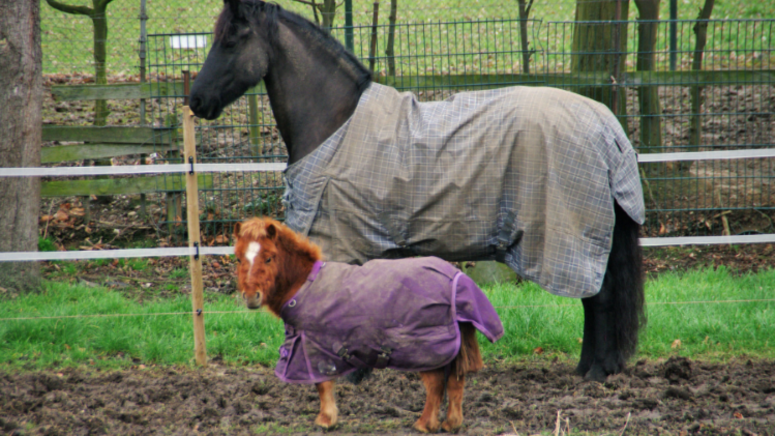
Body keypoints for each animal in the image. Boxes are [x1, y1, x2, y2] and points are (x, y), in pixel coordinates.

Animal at [191, 0, 644, 382]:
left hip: (574, 240)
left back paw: (594, 372)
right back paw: (591, 367)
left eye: (231, 39)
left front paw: (349, 373)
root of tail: (605, 125)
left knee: (598, 298)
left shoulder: (347, 241)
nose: (196, 100)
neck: (336, 124)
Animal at [233, 216, 506, 430]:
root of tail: (456, 278)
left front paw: (326, 420)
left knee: (436, 383)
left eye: (269, 258)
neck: (304, 284)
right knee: (456, 381)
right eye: (237, 259)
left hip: (426, 349)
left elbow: (323, 384)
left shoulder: (313, 348)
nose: (251, 297)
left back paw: (424, 424)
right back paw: (451, 424)